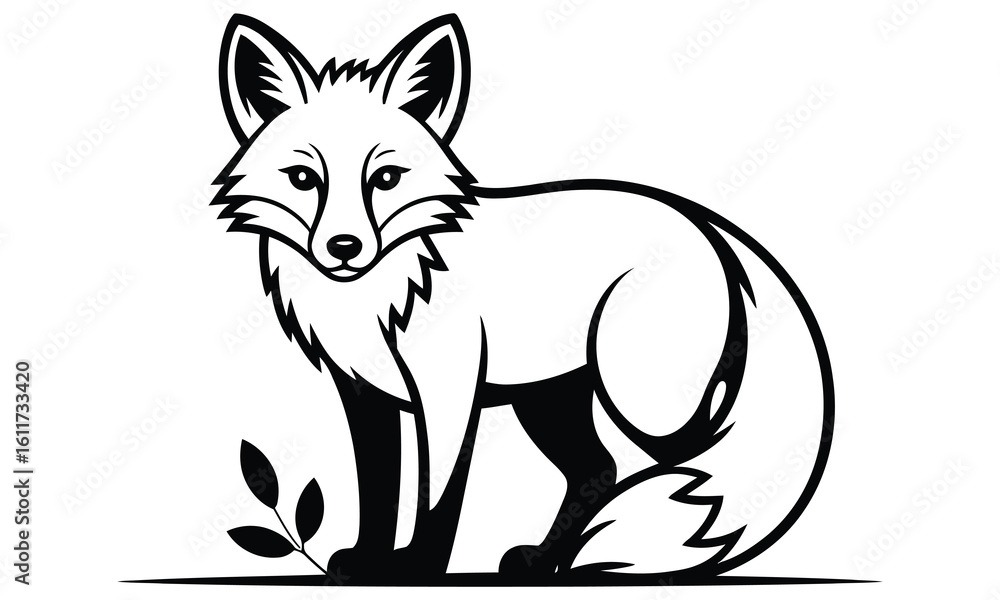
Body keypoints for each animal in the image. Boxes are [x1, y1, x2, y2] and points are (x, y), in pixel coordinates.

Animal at [212, 13, 834, 581]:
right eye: (302, 178)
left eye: (386, 179)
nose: (344, 248)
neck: (386, 293)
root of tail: (704, 219)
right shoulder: (364, 394)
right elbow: (379, 488)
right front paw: (367, 561)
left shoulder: (451, 390)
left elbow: (436, 495)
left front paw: (419, 567)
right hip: (548, 400)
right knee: (597, 469)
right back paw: (539, 562)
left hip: (635, 395)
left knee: (646, 459)